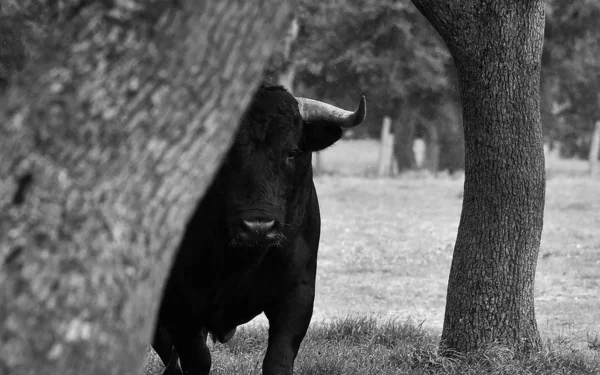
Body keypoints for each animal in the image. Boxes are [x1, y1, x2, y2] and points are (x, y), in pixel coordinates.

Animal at [151, 83, 366, 374]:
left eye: (292, 152)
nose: (257, 226)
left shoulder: (298, 293)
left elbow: (278, 359)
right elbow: (197, 359)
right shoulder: (180, 306)